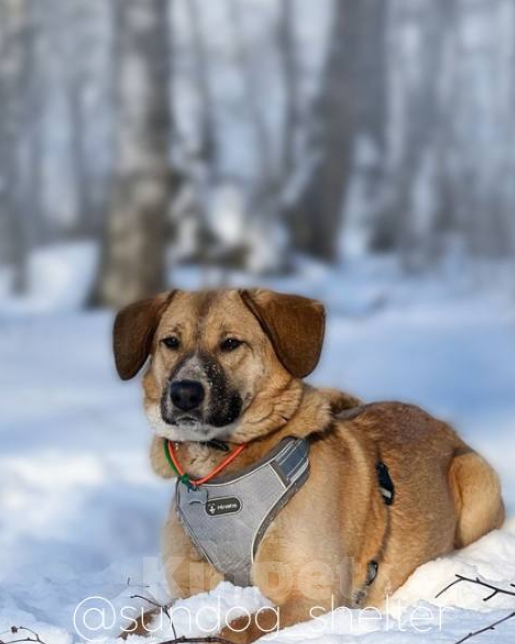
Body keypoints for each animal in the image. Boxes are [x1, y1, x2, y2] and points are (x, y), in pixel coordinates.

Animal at [115, 290, 506, 640]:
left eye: (230, 343)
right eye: (170, 342)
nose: (184, 393)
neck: (222, 471)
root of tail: (440, 423)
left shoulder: (312, 597)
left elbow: (237, 627)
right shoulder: (191, 590)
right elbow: (142, 618)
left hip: (474, 480)